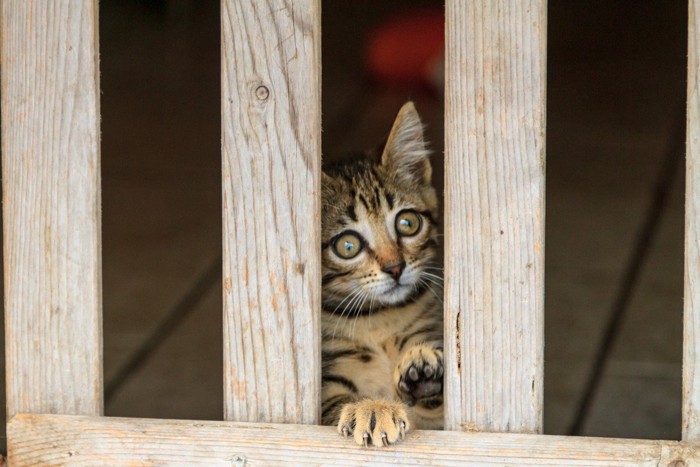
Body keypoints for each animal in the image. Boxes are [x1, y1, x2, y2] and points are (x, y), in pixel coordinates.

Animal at [322, 100, 442, 448]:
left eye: (408, 223)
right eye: (347, 245)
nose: (395, 267)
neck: (377, 319)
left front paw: (424, 374)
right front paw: (372, 408)